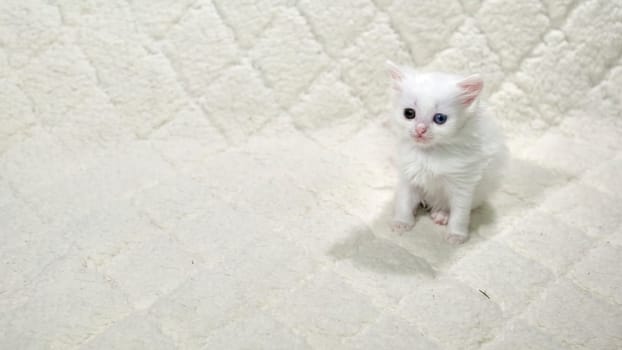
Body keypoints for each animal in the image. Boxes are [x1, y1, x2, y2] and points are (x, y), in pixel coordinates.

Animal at [388, 61, 510, 245]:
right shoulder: (407, 175)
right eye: (409, 113)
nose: (420, 130)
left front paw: (456, 235)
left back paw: (442, 214)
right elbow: (404, 201)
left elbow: (460, 212)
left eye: (440, 119)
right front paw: (402, 222)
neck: (429, 153)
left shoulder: (463, 182)